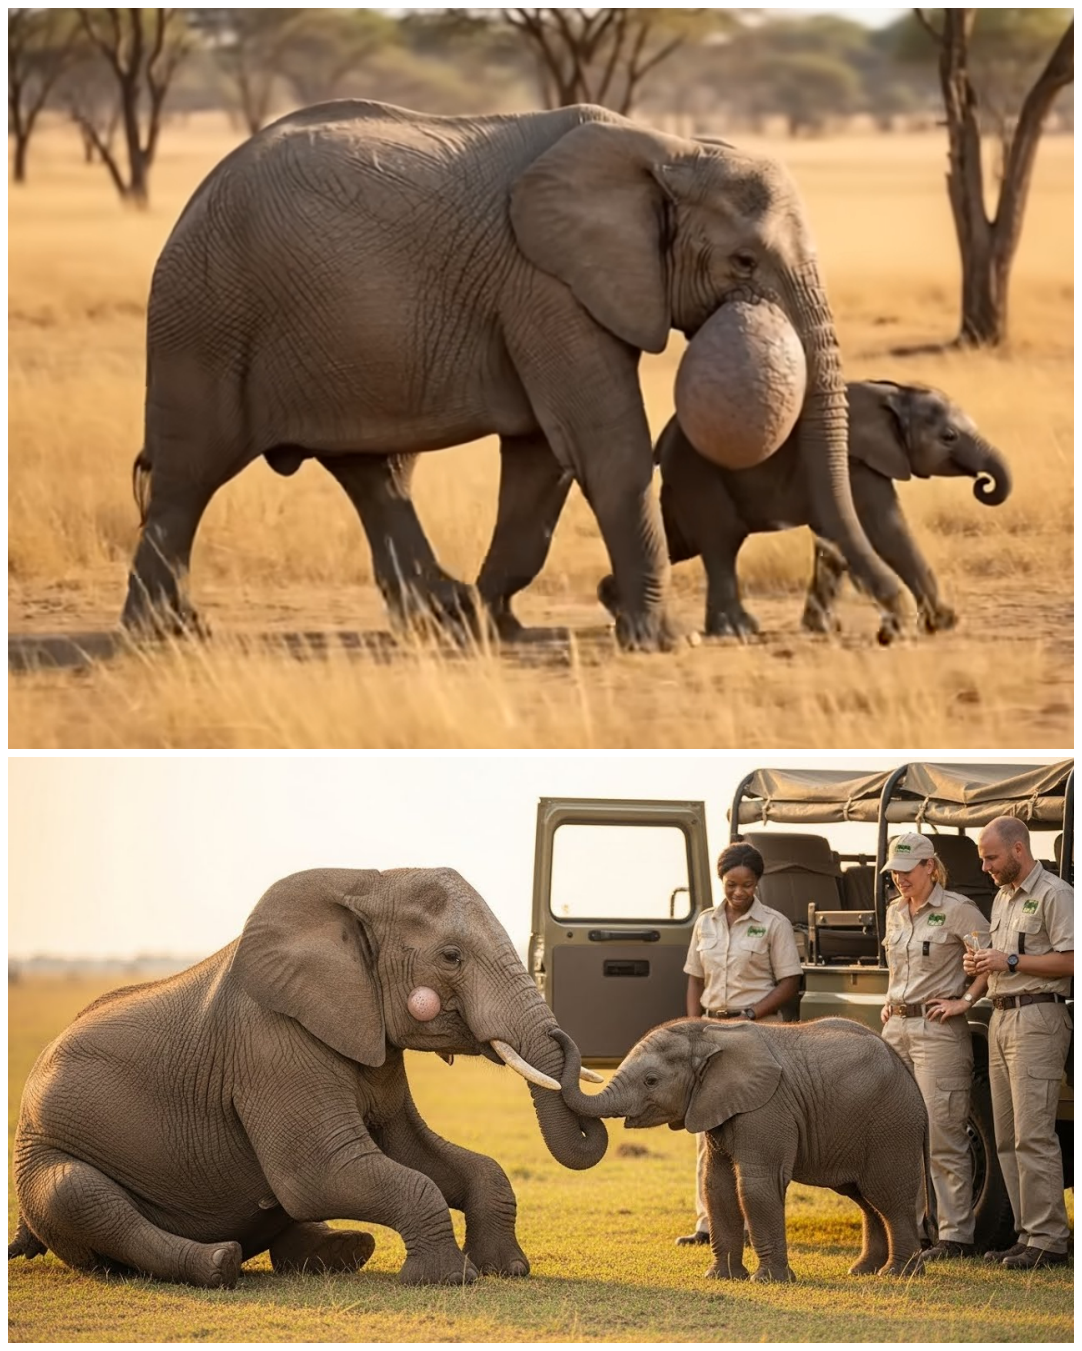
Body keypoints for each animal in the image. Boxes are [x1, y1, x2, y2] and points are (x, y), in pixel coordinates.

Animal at [8, 867, 608, 1289]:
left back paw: (343, 1252)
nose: (566, 1045)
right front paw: (449, 1280)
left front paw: (508, 1270)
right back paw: (219, 1264)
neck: (365, 882)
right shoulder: (270, 1045)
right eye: (451, 956)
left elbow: (424, 1156)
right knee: (85, 1199)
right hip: (45, 1155)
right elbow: (321, 1173)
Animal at [120, 98, 904, 651]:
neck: (667, 149)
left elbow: (540, 462)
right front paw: (660, 640)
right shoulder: (545, 284)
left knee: (375, 475)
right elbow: (603, 444)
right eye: (744, 262)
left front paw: (496, 623)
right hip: (206, 318)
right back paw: (166, 634)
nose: (896, 627)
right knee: (189, 478)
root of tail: (193, 200)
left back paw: (441, 620)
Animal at [554, 1018, 929, 1282]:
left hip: (892, 1127)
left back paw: (898, 1274)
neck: (708, 1034)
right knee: (865, 1199)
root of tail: (909, 1072)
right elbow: (716, 1186)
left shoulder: (767, 1107)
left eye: (651, 1081)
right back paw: (863, 1271)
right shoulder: (715, 1104)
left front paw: (769, 1281)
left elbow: (756, 1185)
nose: (556, 1033)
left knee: (887, 1196)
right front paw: (721, 1278)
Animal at [619, 380, 1011, 639]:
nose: (983, 483)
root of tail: (662, 442)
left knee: (682, 540)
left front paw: (820, 629)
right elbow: (886, 528)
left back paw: (615, 599)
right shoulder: (856, 463)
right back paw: (734, 631)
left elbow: (831, 543)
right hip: (698, 474)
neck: (895, 394)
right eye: (949, 437)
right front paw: (945, 624)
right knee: (721, 542)